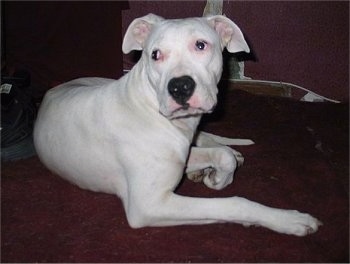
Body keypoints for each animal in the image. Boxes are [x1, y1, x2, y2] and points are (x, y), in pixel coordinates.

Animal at [34, 13, 322, 236]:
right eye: (155, 54)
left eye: (201, 45)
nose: (180, 86)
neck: (152, 109)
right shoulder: (149, 207)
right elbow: (233, 203)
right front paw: (288, 219)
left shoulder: (182, 155)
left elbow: (223, 155)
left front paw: (217, 176)